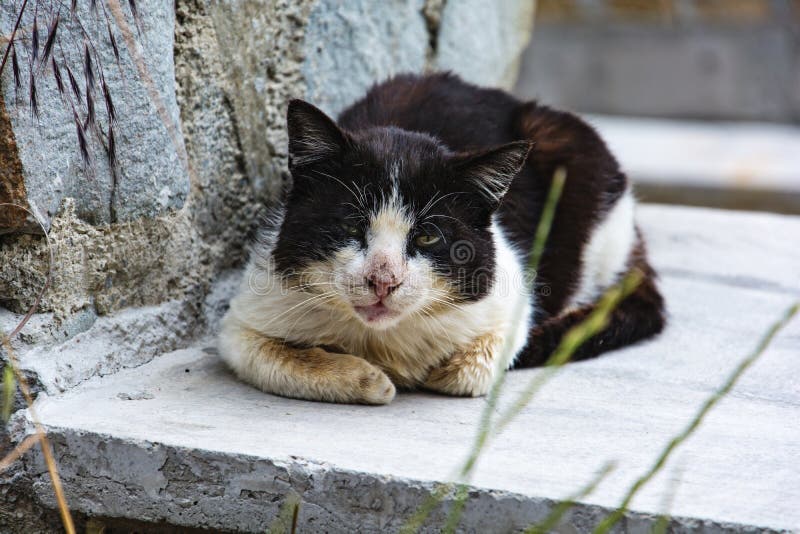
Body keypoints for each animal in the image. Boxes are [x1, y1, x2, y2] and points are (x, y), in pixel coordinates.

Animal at [216, 72, 664, 406]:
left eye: (428, 236)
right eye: (351, 227)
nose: (383, 281)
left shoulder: (508, 293)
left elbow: (470, 371)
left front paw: (430, 372)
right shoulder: (245, 314)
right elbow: (266, 356)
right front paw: (368, 379)